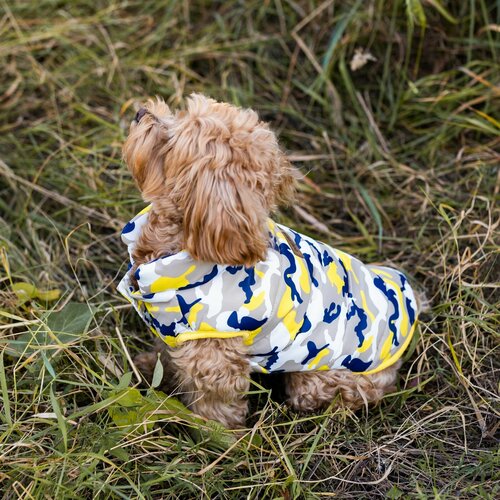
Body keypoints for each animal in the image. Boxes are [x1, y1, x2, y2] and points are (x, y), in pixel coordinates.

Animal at [118, 94, 418, 430]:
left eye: (170, 143)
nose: (141, 112)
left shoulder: (215, 357)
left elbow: (215, 406)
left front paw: (211, 434)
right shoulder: (175, 329)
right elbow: (165, 353)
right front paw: (149, 366)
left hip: (321, 376)